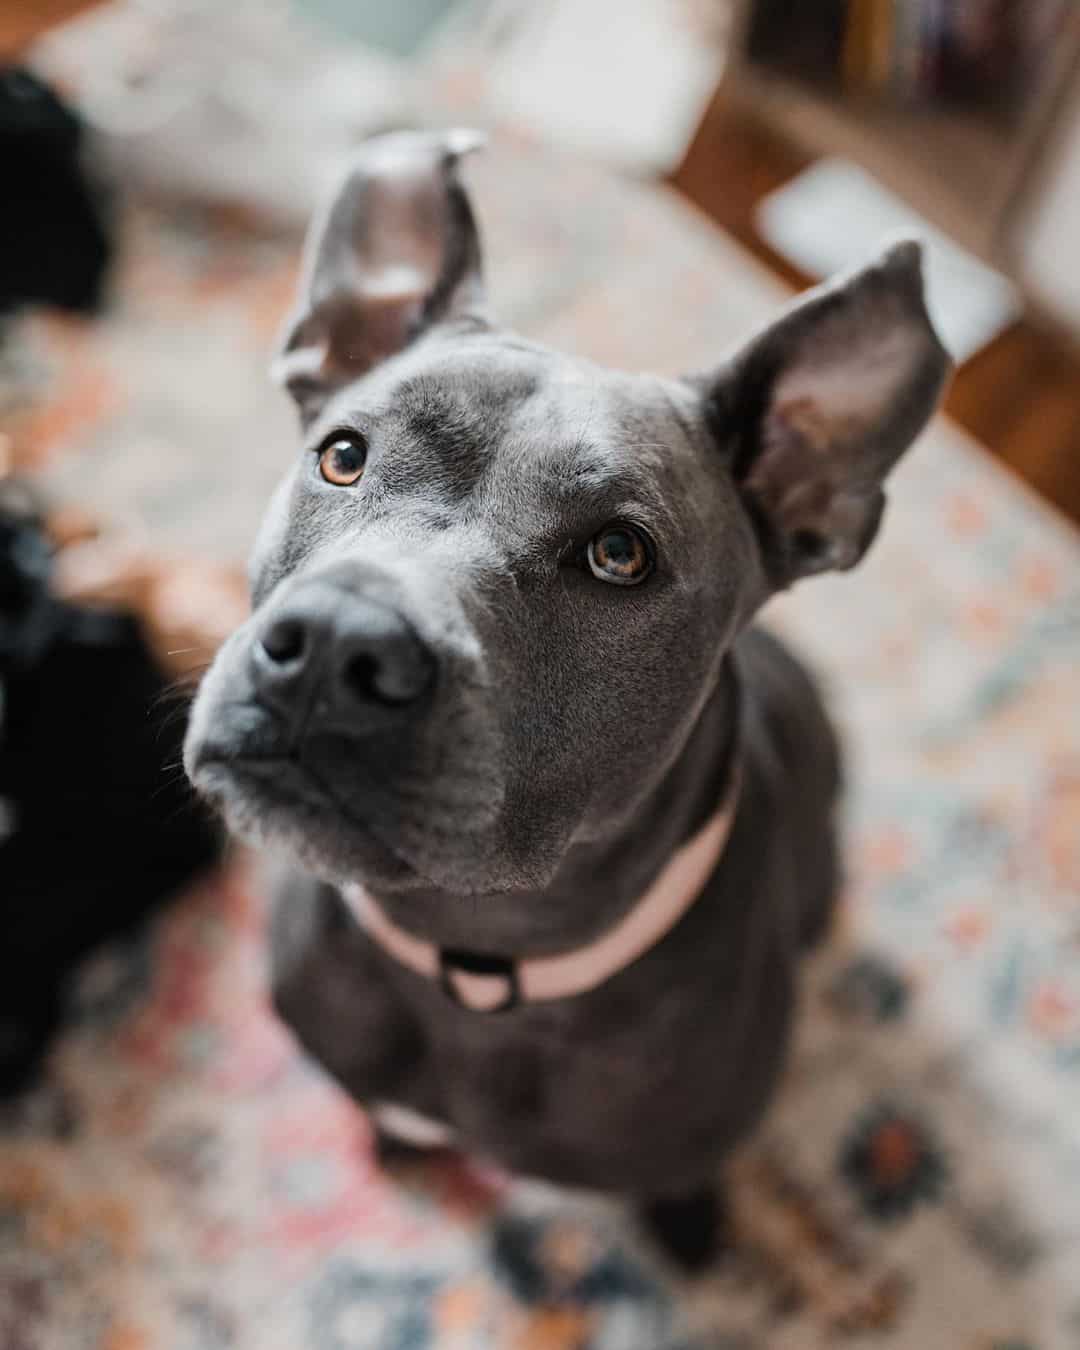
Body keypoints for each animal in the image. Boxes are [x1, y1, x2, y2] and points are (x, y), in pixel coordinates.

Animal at [187, 128, 955, 1263]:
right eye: (343, 455)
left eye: (619, 554)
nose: (336, 648)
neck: (478, 972)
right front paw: (399, 1145)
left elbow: (684, 1177)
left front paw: (692, 1226)